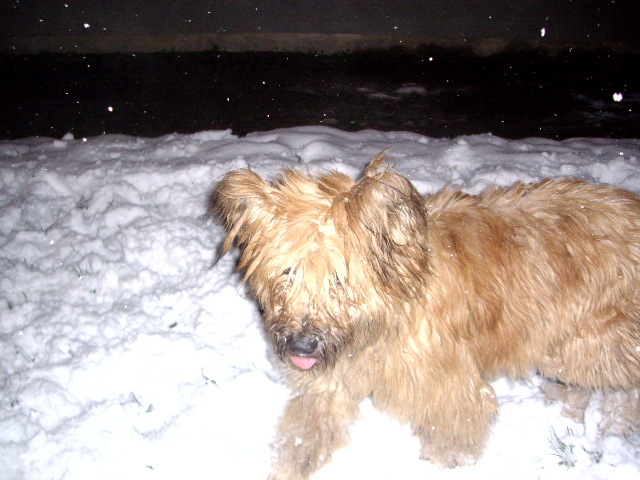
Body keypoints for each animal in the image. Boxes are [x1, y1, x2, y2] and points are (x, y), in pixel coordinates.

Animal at [211, 156, 640, 478]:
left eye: (338, 279)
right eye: (288, 273)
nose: (301, 347)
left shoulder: (449, 385)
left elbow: (452, 433)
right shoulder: (333, 380)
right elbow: (307, 432)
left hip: (593, 341)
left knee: (621, 383)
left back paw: (611, 423)